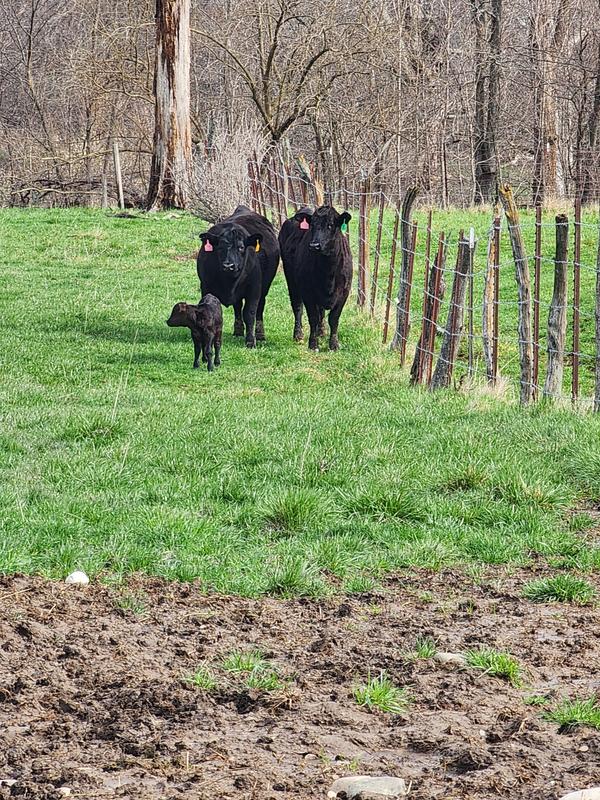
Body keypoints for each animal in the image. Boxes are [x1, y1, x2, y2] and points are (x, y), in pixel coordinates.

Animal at [196, 206, 279, 348]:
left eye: (241, 248)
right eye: (219, 248)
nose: (228, 265)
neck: (229, 283)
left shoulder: (254, 289)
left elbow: (250, 313)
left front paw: (251, 341)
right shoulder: (205, 286)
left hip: (265, 287)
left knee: (260, 307)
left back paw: (260, 334)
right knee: (237, 306)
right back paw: (238, 330)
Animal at [293, 205, 352, 351]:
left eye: (330, 225)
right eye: (312, 225)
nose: (314, 245)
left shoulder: (344, 292)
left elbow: (334, 318)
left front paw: (334, 344)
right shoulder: (307, 292)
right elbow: (313, 317)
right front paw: (313, 344)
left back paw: (321, 332)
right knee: (297, 307)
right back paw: (298, 335)